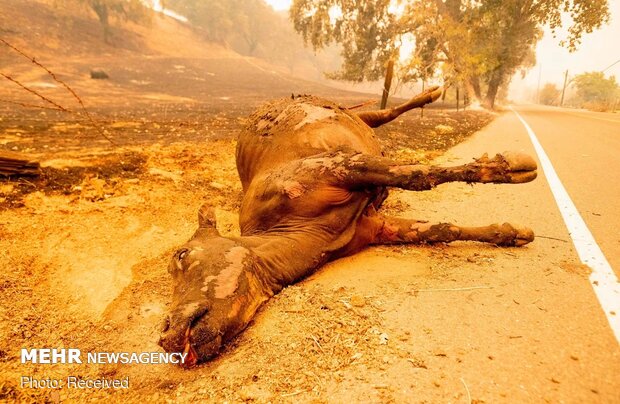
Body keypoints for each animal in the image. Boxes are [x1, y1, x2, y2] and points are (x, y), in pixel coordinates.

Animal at [160, 87, 536, 366]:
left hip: (351, 119)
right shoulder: (376, 227)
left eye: (181, 255)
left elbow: (414, 174)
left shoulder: (339, 164)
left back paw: (432, 92)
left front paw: (510, 167)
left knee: (384, 114)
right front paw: (511, 232)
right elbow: (442, 229)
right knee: (383, 117)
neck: (307, 232)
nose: (166, 334)